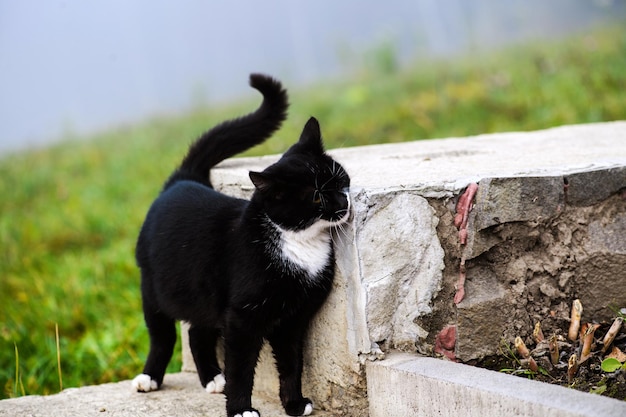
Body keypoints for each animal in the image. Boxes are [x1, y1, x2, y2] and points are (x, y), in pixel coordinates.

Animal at [131, 75, 348, 416]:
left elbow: (292, 363)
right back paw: (149, 377)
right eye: (316, 197)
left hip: (204, 293)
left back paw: (211, 378)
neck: (298, 244)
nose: (344, 202)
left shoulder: (293, 319)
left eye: (341, 180)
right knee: (163, 336)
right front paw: (240, 408)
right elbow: (242, 367)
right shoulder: (242, 319)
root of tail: (183, 179)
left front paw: (294, 404)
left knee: (196, 332)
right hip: (155, 287)